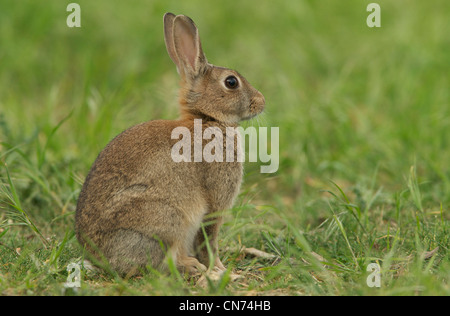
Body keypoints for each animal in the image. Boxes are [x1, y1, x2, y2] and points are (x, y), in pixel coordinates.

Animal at [75, 12, 266, 276]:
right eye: (231, 82)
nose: (262, 101)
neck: (207, 119)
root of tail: (99, 257)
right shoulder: (215, 202)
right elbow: (209, 239)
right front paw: (220, 269)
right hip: (168, 218)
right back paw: (192, 265)